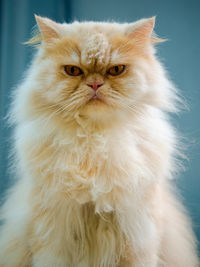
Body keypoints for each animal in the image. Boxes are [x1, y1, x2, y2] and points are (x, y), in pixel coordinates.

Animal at [0, 15, 198, 267]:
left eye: (116, 70)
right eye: (73, 70)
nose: (95, 84)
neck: (94, 138)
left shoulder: (136, 233)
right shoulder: (54, 233)